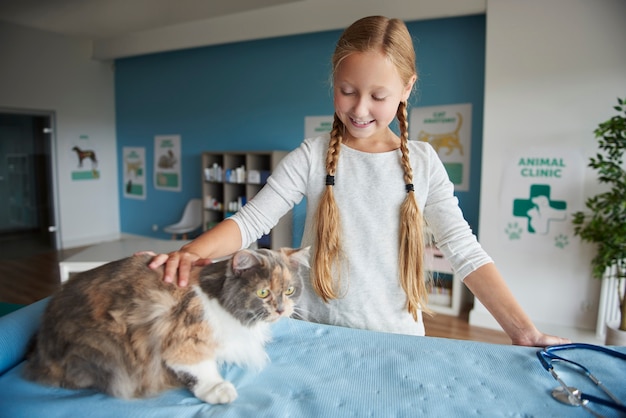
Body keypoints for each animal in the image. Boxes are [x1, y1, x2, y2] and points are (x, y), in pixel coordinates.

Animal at [23, 247, 308, 404]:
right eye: (263, 293)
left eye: (289, 291)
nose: (281, 310)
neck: (219, 297)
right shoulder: (181, 339)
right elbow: (198, 368)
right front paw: (218, 390)